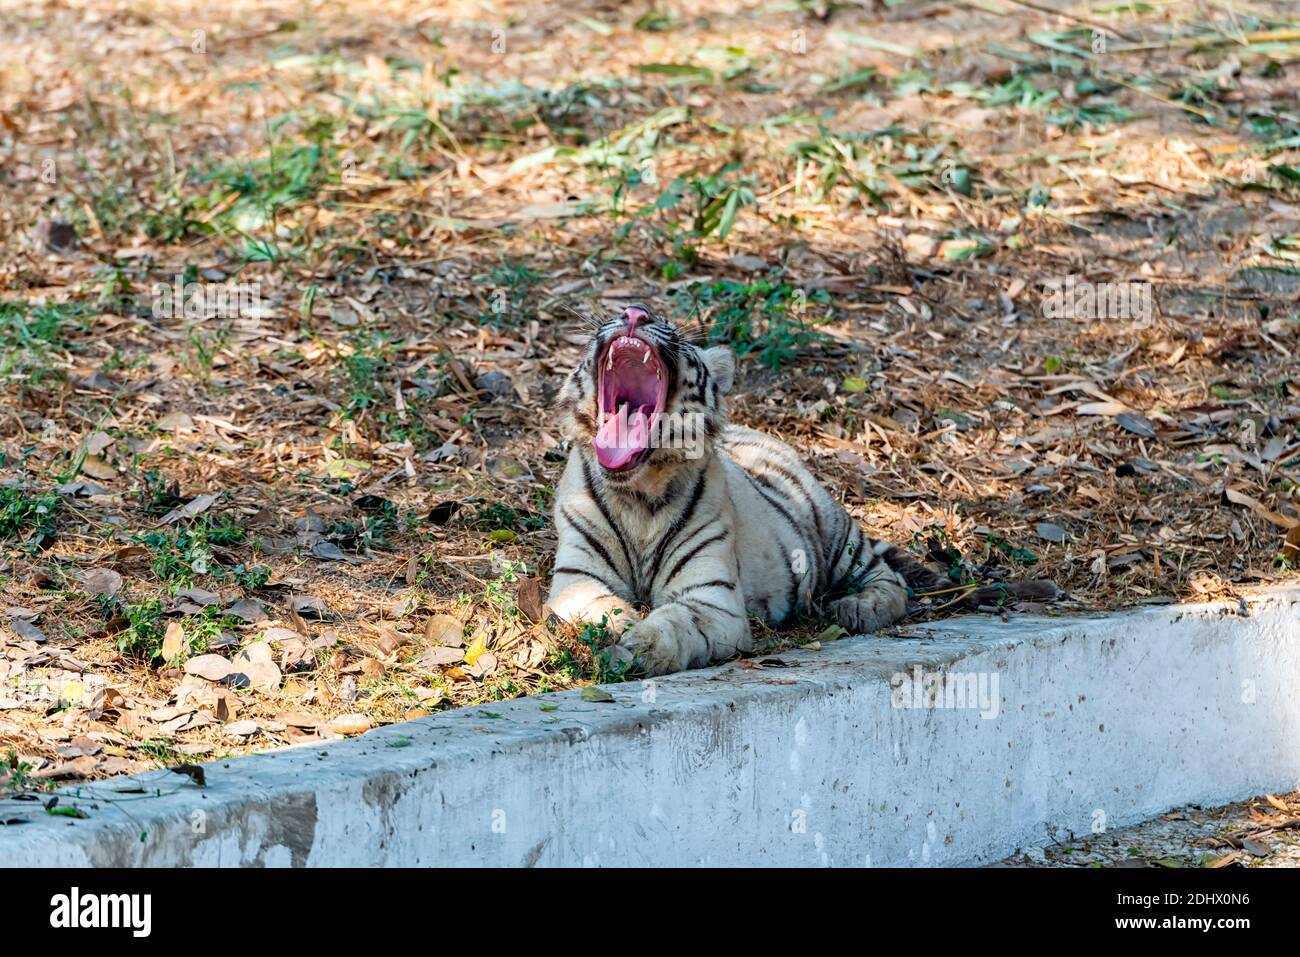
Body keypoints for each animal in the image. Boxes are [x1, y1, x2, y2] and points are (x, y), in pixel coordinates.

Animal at [546, 304, 1057, 675]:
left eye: (676, 332)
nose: (635, 313)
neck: (639, 491)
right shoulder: (576, 578)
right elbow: (602, 608)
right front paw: (622, 632)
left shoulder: (714, 599)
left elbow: (676, 621)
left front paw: (642, 646)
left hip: (838, 537)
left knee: (889, 581)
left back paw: (856, 608)